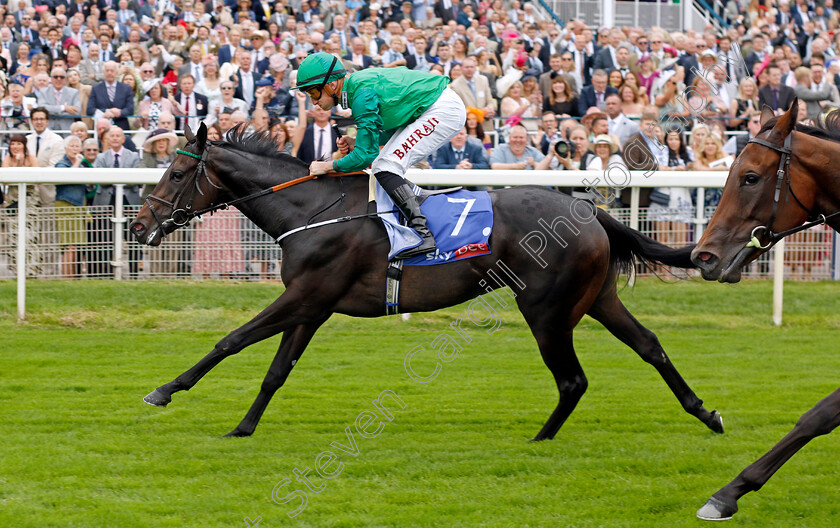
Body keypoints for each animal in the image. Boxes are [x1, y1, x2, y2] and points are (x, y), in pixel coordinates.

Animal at [130, 124, 720, 442]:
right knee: (650, 345)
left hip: (546, 308)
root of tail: (589, 210)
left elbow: (231, 340)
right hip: (597, 297)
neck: (312, 211)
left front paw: (164, 390)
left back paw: (540, 438)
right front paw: (243, 428)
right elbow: (276, 372)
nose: (139, 226)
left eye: (177, 174)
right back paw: (706, 413)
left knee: (573, 380)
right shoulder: (313, 305)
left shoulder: (304, 295)